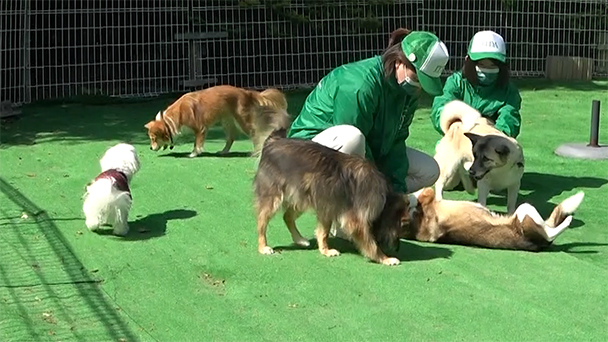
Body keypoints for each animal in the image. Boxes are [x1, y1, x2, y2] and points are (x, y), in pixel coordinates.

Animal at [146, 85, 290, 157]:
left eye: (153, 139)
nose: (150, 148)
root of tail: (246, 92)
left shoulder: (200, 128)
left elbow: (197, 143)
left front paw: (194, 153)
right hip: (226, 121)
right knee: (231, 138)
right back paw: (223, 151)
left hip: (242, 121)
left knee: (255, 134)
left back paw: (256, 151)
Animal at [252, 130, 408, 266]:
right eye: (401, 224)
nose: (397, 247)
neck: (386, 198)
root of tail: (271, 142)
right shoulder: (355, 220)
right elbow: (371, 244)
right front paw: (384, 258)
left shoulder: (327, 207)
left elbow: (323, 232)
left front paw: (325, 250)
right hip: (274, 198)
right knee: (261, 222)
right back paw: (263, 246)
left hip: (303, 197)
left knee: (287, 216)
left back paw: (300, 240)